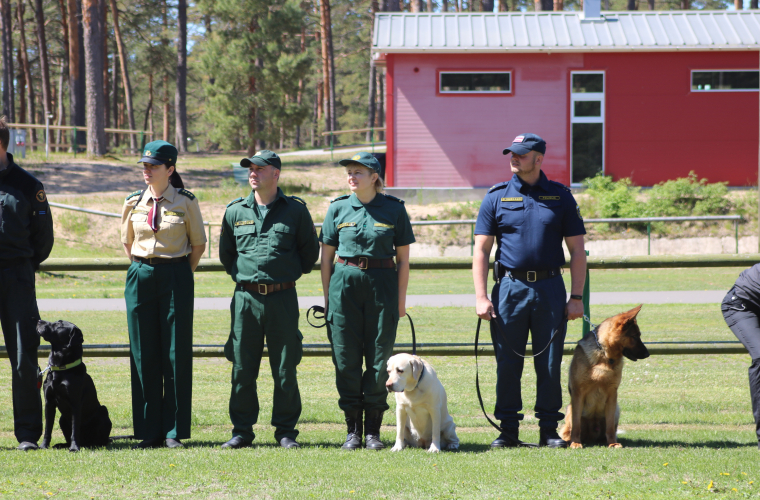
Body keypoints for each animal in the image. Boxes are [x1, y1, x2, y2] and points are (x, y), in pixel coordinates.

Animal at [37, 320, 112, 454]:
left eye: (59, 324)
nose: (39, 321)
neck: (61, 369)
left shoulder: (75, 403)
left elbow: (75, 429)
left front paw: (74, 448)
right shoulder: (48, 402)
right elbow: (47, 428)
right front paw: (43, 446)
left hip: (103, 411)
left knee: (100, 440)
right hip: (62, 419)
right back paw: (61, 445)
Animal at [556, 304, 652, 450]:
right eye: (635, 336)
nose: (648, 354)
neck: (604, 355)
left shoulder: (612, 394)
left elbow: (610, 427)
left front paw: (612, 443)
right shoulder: (578, 393)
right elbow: (576, 425)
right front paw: (576, 443)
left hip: (616, 409)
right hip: (570, 410)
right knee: (570, 430)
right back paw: (568, 441)